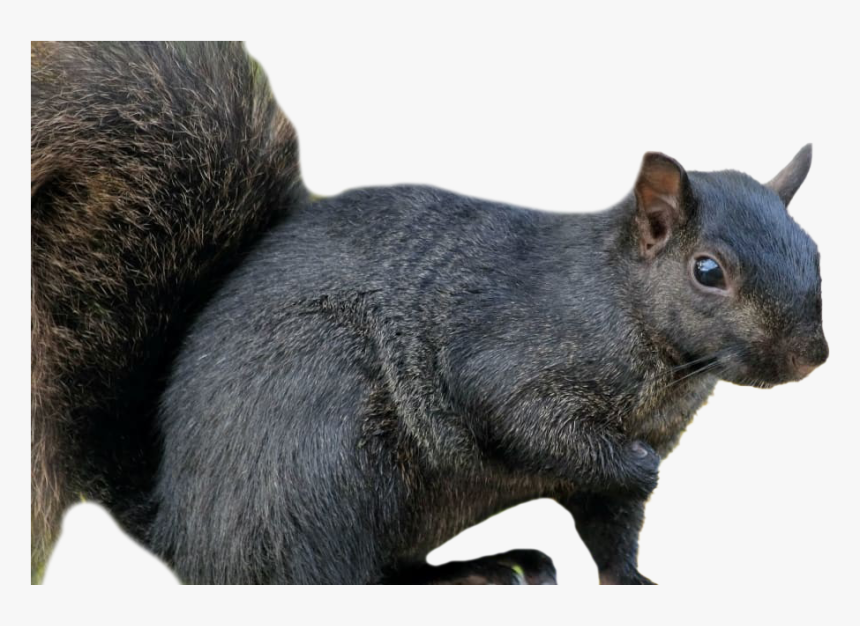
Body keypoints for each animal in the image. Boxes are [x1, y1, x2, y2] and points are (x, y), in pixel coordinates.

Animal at [31, 42, 828, 584]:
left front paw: (635, 581)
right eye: (707, 271)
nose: (810, 356)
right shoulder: (513, 357)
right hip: (325, 452)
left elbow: (612, 528)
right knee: (326, 574)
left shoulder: (609, 477)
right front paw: (642, 471)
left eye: (816, 251)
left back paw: (485, 567)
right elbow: (537, 427)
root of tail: (179, 527)